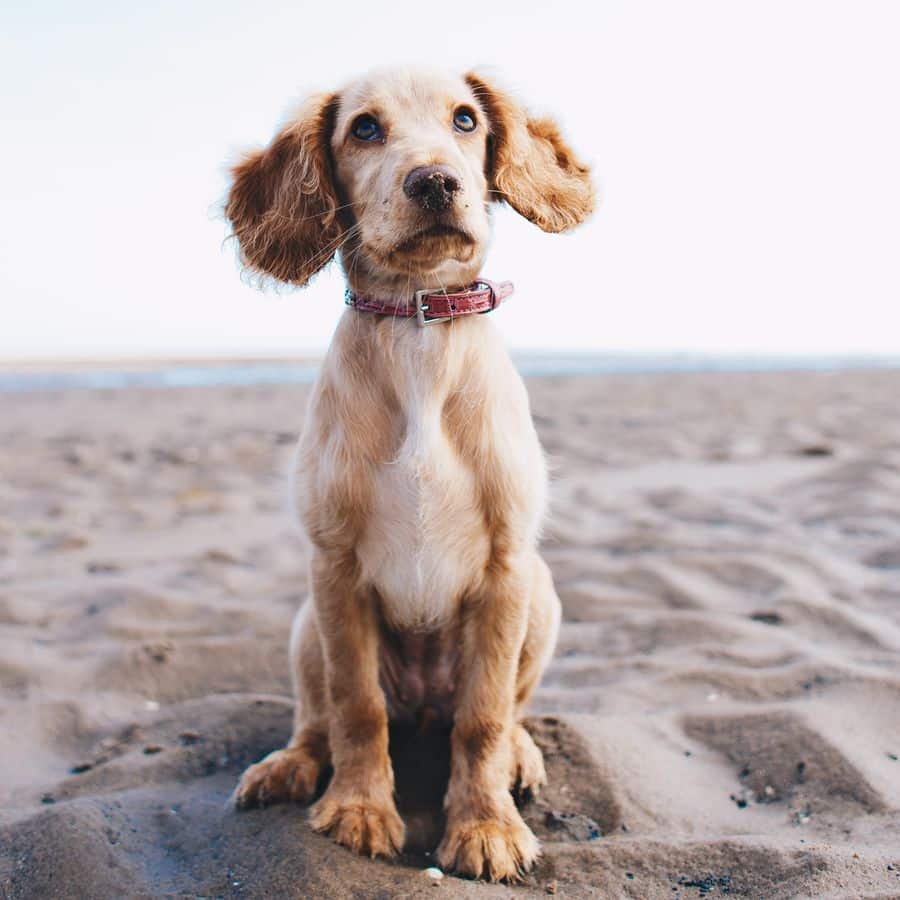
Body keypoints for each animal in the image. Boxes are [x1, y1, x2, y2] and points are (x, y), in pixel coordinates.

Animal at [225, 67, 596, 884]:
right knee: (319, 716)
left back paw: (520, 756)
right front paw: (360, 809)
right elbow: (356, 705)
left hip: (544, 598)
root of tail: (423, 706)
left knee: (502, 712)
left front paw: (486, 826)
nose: (434, 182)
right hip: (306, 624)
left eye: (465, 120)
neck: (417, 327)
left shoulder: (507, 568)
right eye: (364, 129)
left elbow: (484, 717)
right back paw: (289, 765)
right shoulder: (334, 566)